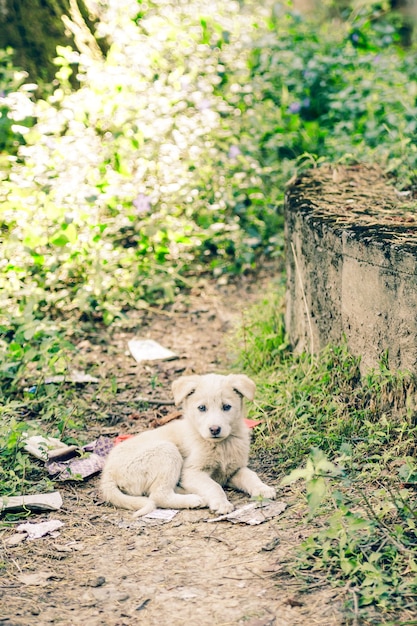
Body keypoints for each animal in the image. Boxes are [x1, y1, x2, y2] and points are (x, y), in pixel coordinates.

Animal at [100, 372, 276, 516]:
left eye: (226, 407)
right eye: (202, 408)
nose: (214, 429)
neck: (221, 445)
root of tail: (107, 473)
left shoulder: (234, 470)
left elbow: (251, 476)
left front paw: (263, 489)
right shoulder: (192, 471)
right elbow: (213, 486)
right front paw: (221, 503)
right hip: (167, 451)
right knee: (158, 495)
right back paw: (193, 500)